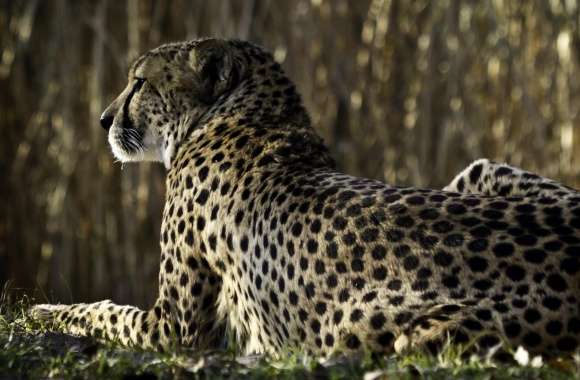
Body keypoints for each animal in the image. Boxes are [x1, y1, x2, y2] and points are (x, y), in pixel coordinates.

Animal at [32, 38, 580, 356]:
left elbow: (102, 311)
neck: (242, 112)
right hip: (479, 170)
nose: (103, 119)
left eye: (139, 82)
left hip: (382, 330)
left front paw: (42, 312)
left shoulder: (175, 329)